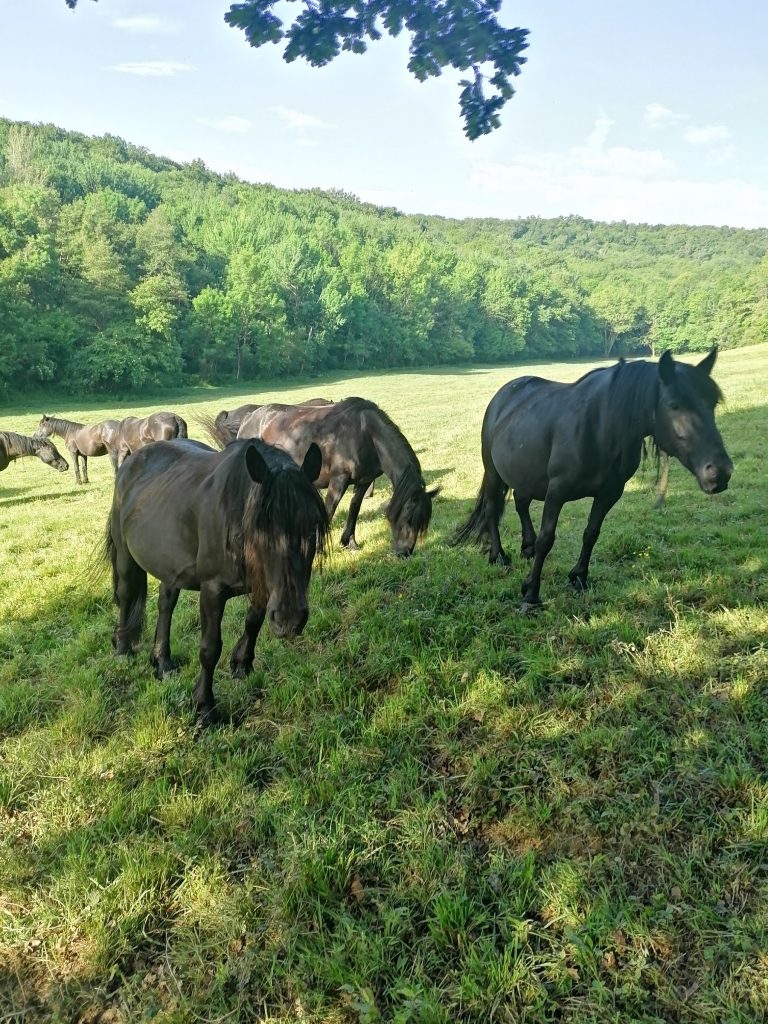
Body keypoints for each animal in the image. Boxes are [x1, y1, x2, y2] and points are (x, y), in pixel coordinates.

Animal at [105, 437, 328, 724]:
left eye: (312, 526)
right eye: (261, 528)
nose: (289, 621)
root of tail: (130, 461)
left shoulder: (263, 585)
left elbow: (253, 622)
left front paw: (242, 664)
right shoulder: (212, 590)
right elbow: (210, 648)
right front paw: (205, 707)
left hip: (170, 564)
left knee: (166, 604)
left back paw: (162, 662)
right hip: (125, 556)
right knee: (125, 596)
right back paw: (123, 649)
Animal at [214, 397, 436, 557]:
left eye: (423, 523)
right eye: (408, 518)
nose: (404, 553)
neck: (365, 433)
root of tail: (248, 419)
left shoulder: (363, 482)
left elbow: (354, 509)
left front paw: (349, 543)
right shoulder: (338, 480)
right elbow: (329, 511)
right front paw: (319, 550)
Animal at [454, 349, 733, 610]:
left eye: (713, 403)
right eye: (675, 405)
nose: (720, 472)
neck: (601, 428)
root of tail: (503, 395)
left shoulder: (610, 493)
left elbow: (591, 534)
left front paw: (579, 577)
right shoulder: (556, 491)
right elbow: (547, 539)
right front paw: (531, 592)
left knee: (521, 503)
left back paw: (527, 547)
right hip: (493, 473)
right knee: (492, 510)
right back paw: (498, 556)